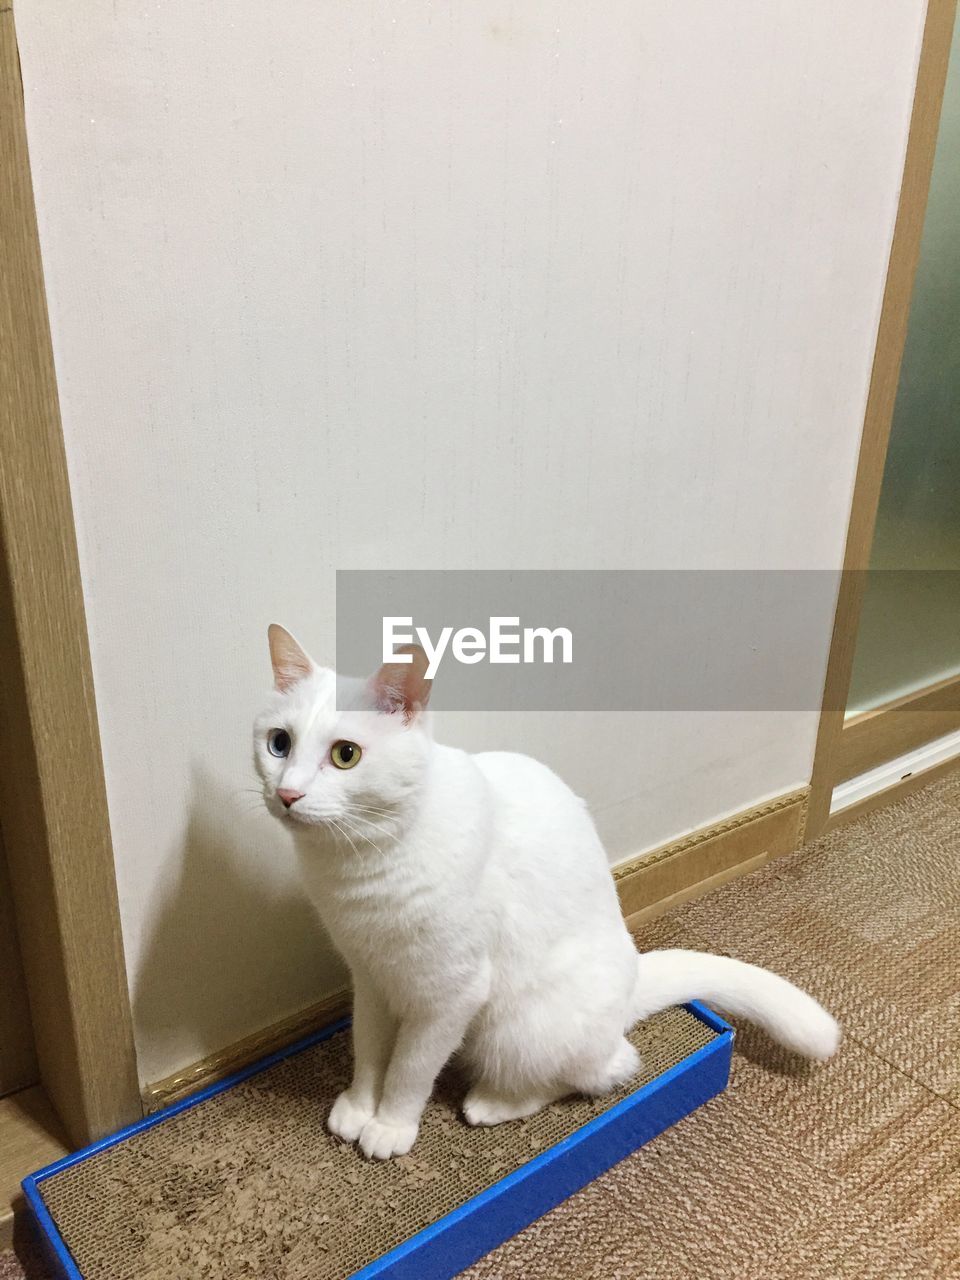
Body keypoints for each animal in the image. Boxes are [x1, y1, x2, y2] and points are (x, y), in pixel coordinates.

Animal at [256, 627, 839, 1162]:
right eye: (279, 744)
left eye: (346, 755)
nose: (287, 794)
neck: (358, 864)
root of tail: (632, 982)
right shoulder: (372, 979)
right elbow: (370, 1051)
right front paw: (359, 1107)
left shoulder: (450, 995)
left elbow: (409, 1069)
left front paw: (390, 1125)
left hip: (514, 1030)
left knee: (603, 1070)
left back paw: (491, 1102)